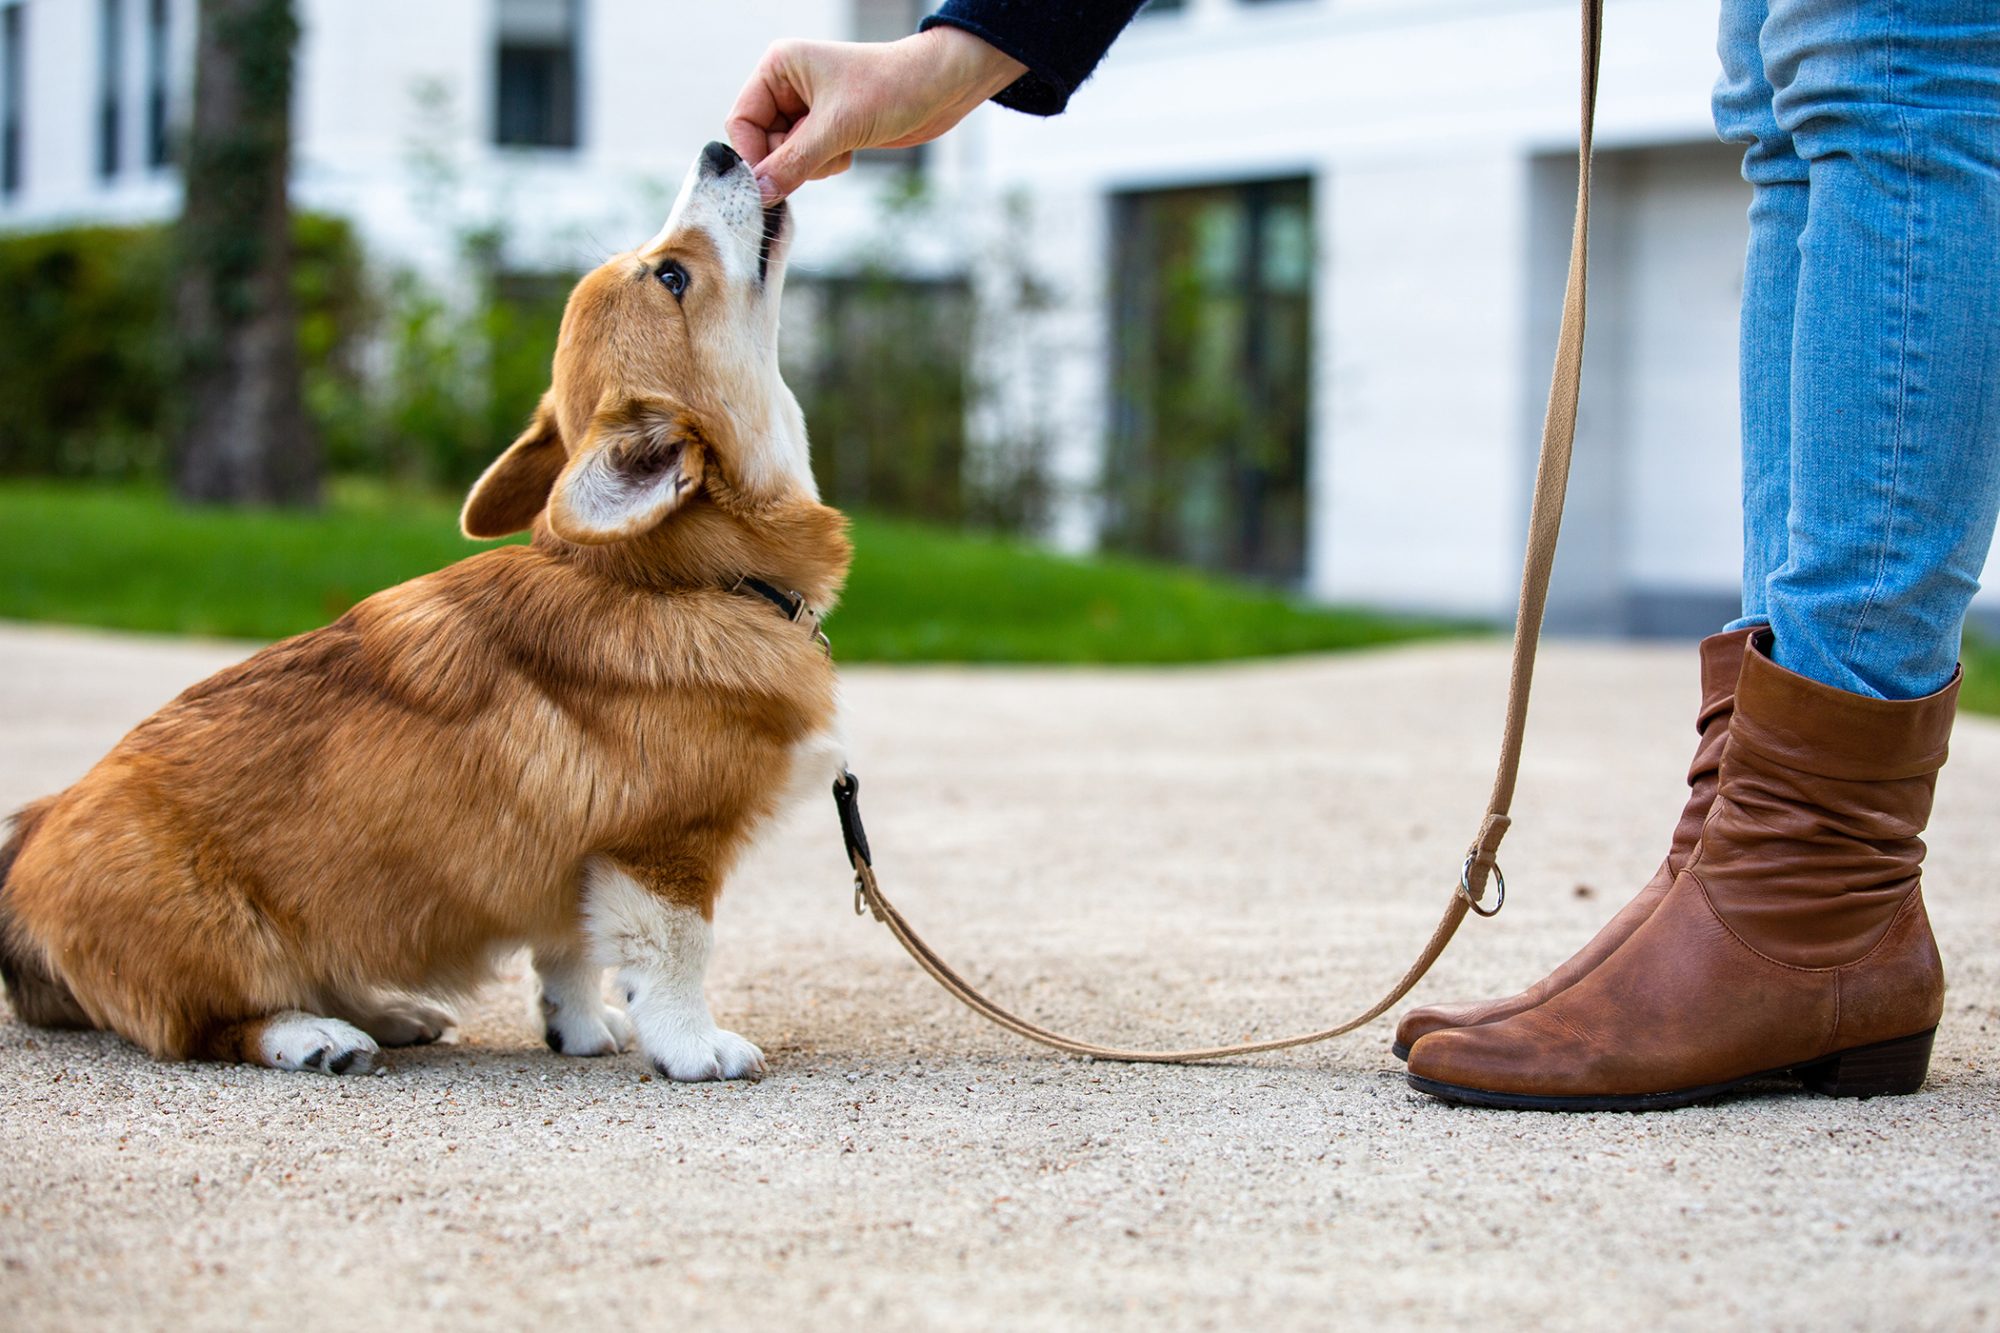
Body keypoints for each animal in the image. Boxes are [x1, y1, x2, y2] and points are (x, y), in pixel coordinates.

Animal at [0, 143, 844, 1080]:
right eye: (672, 275)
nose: (720, 150)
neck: (688, 573)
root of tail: (27, 849)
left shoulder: (572, 864)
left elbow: (569, 955)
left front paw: (579, 1028)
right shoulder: (662, 848)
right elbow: (673, 956)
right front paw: (694, 1047)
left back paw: (391, 1011)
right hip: (219, 935)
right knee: (214, 1023)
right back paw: (317, 1034)